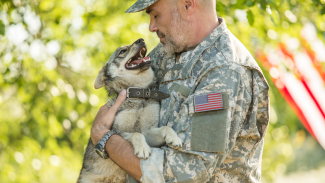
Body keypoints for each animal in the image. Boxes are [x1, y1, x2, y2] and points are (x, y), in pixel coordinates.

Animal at [76, 38, 182, 182]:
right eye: (122, 51)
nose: (141, 39)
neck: (138, 94)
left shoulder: (148, 131)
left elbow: (165, 128)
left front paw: (174, 137)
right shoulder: (118, 132)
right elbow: (136, 134)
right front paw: (142, 148)